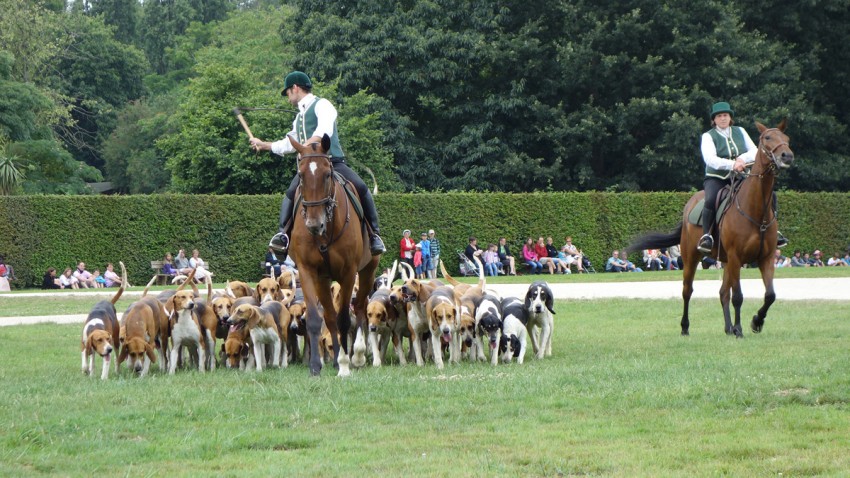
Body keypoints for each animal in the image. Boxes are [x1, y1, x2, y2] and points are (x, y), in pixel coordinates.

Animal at [286, 134, 376, 374]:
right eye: (301, 175)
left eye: (327, 174)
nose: (314, 224)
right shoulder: (308, 271)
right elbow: (317, 319)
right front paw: (316, 366)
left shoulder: (349, 273)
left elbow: (345, 318)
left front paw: (346, 364)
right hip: (324, 280)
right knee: (330, 316)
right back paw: (336, 358)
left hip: (367, 271)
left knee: (360, 309)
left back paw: (358, 355)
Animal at [628, 119, 792, 336]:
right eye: (767, 137)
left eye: (786, 138)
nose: (787, 156)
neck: (756, 211)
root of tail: (690, 204)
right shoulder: (736, 257)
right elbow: (738, 296)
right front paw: (740, 329)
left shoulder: (765, 258)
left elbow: (770, 295)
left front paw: (756, 322)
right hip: (691, 258)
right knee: (687, 291)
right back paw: (686, 327)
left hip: (725, 262)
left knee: (723, 293)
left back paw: (728, 328)